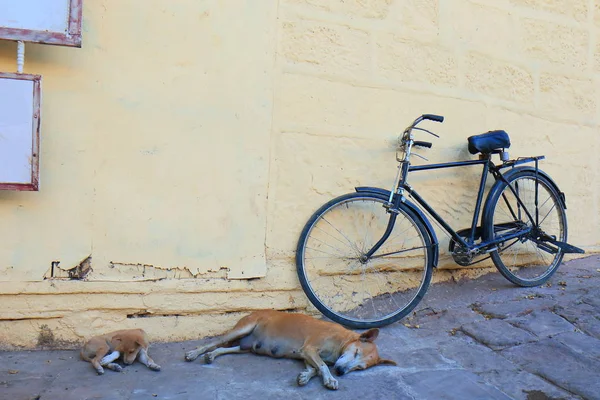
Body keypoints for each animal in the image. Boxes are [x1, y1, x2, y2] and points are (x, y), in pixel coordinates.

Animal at [185, 310, 396, 390]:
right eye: (356, 352)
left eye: (360, 367)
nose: (341, 371)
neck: (341, 340)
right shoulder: (309, 349)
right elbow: (322, 366)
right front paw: (329, 379)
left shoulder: (305, 354)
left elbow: (315, 368)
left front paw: (305, 376)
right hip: (243, 328)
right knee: (216, 341)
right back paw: (195, 353)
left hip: (247, 347)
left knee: (225, 348)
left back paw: (212, 355)